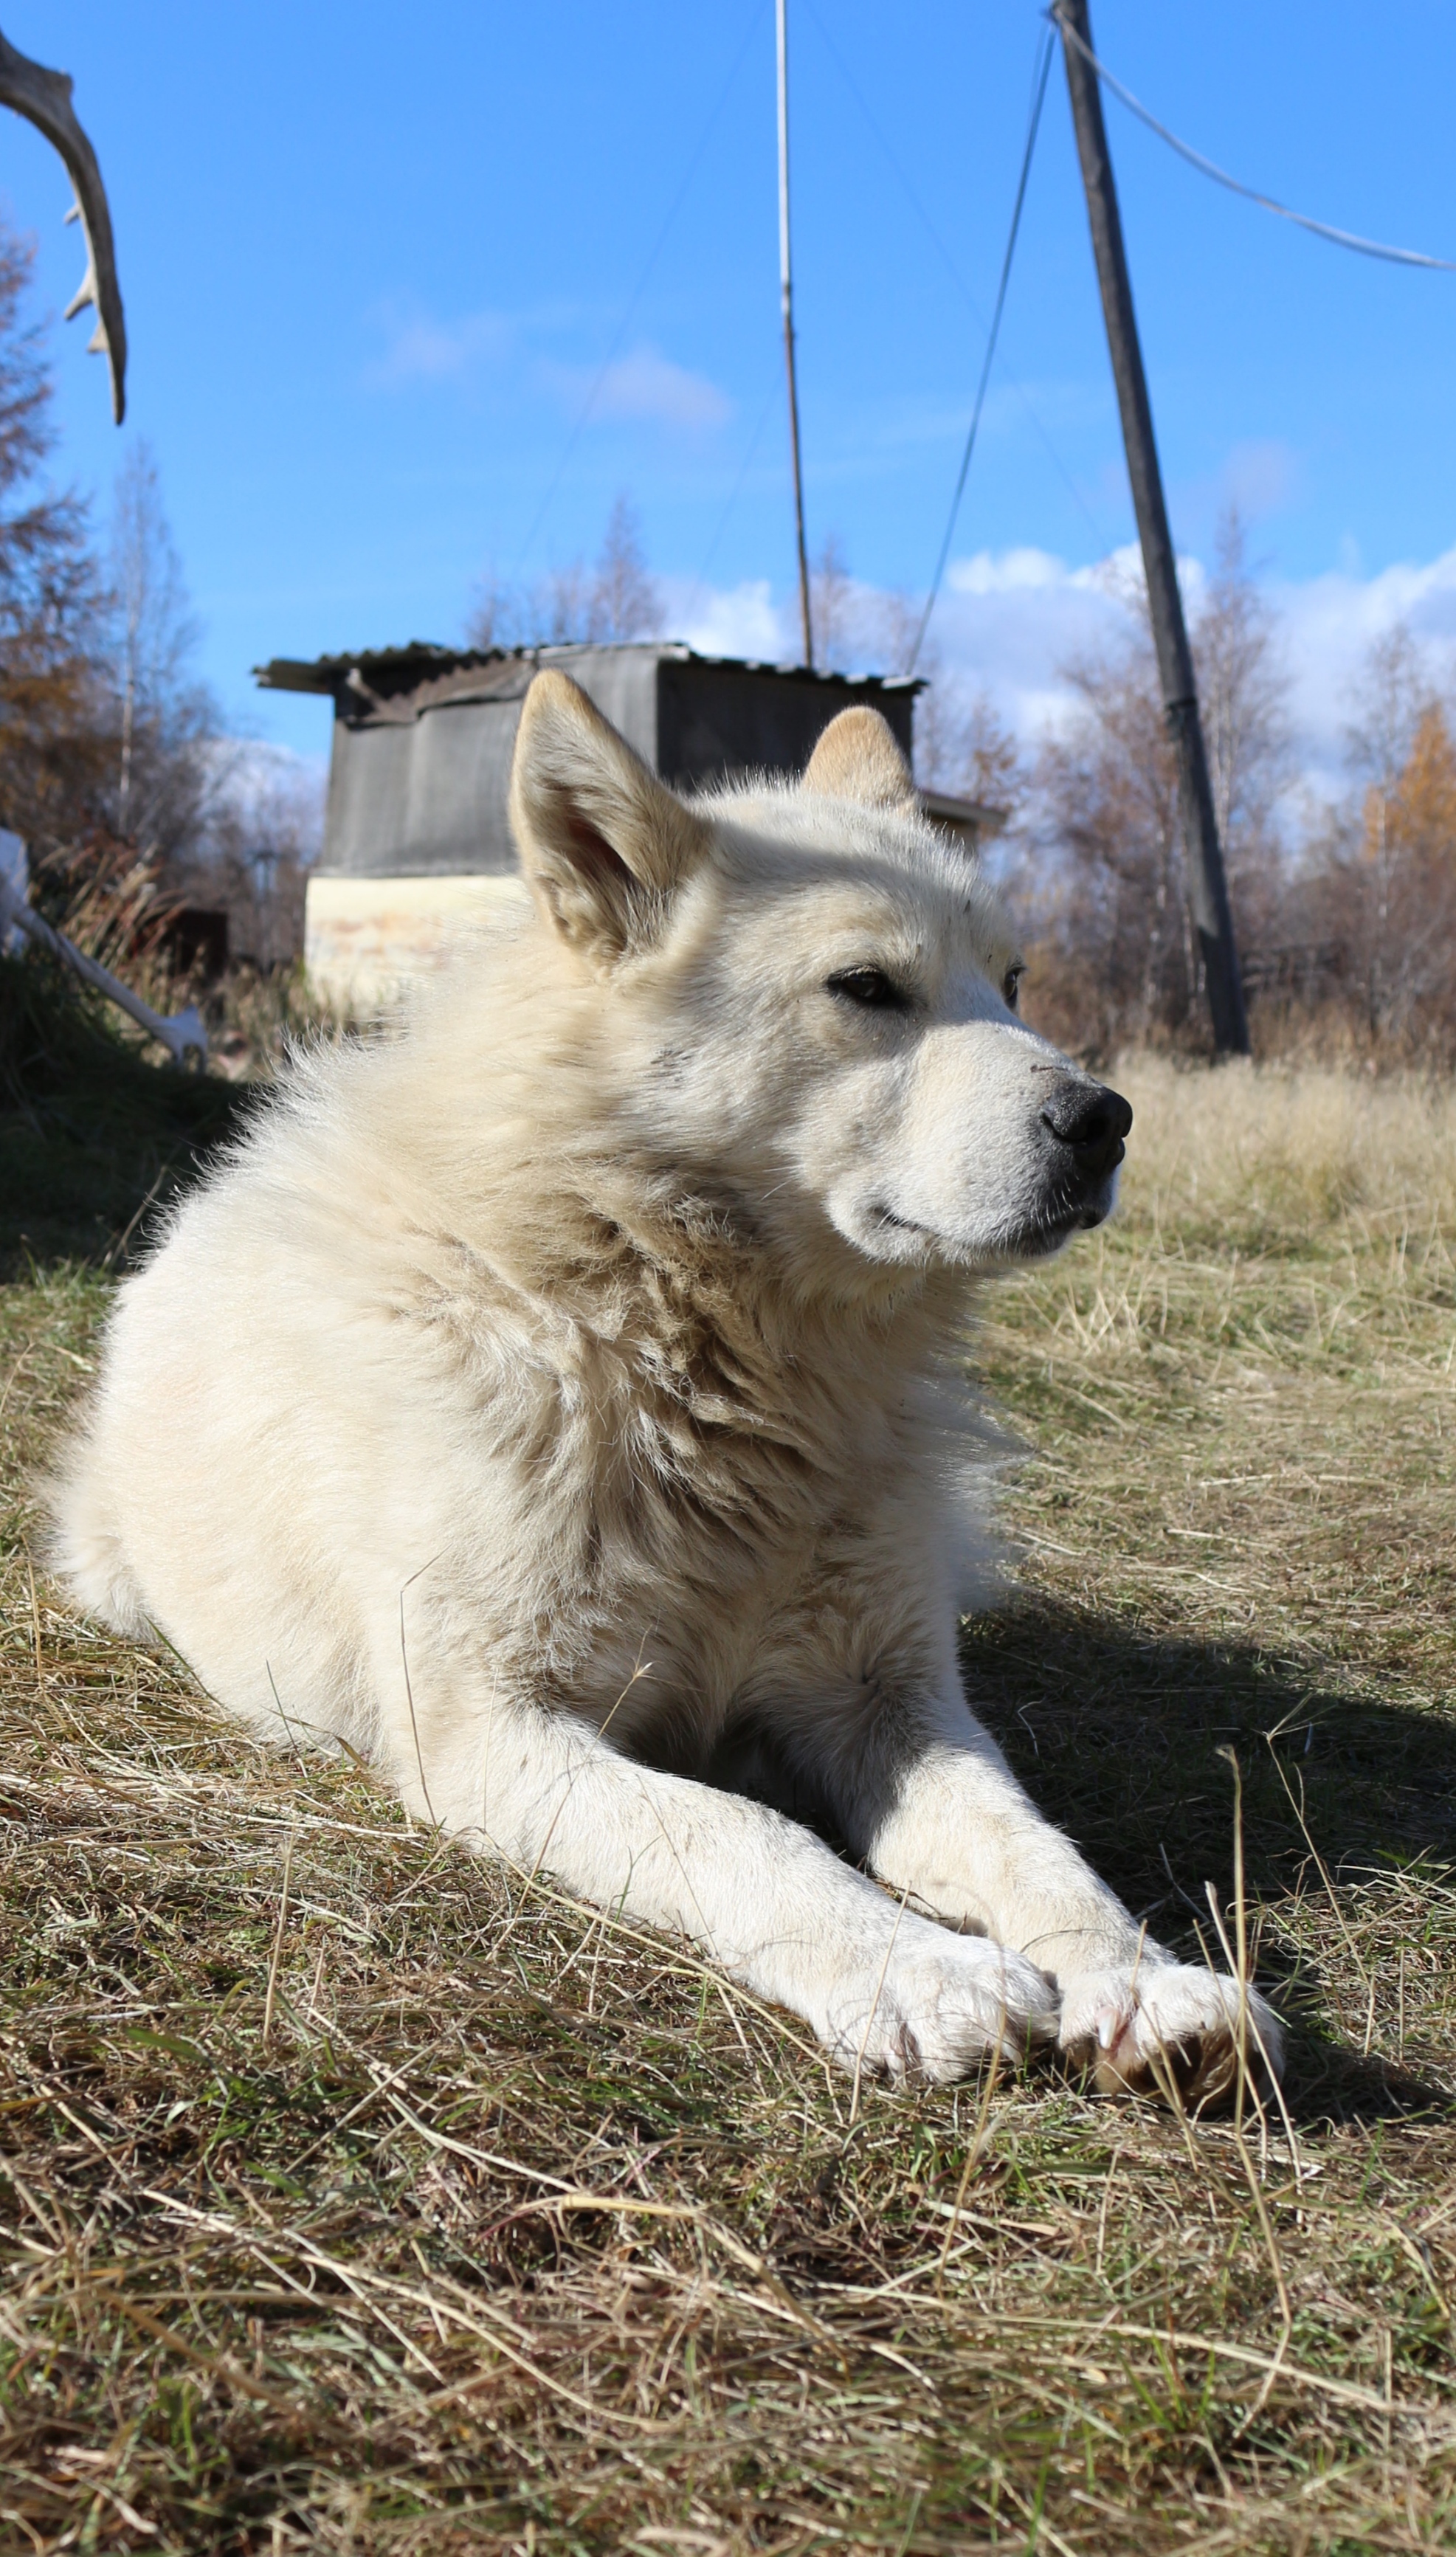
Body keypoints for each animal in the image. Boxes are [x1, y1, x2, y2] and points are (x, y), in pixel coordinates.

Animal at [54, 669, 1284, 2107]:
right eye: (866, 987)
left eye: (1015, 979)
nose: (1105, 1121)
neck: (675, 1348)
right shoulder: (488, 1727)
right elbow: (741, 1830)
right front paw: (915, 1968)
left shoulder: (893, 1698)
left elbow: (1036, 1846)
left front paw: (1147, 1980)